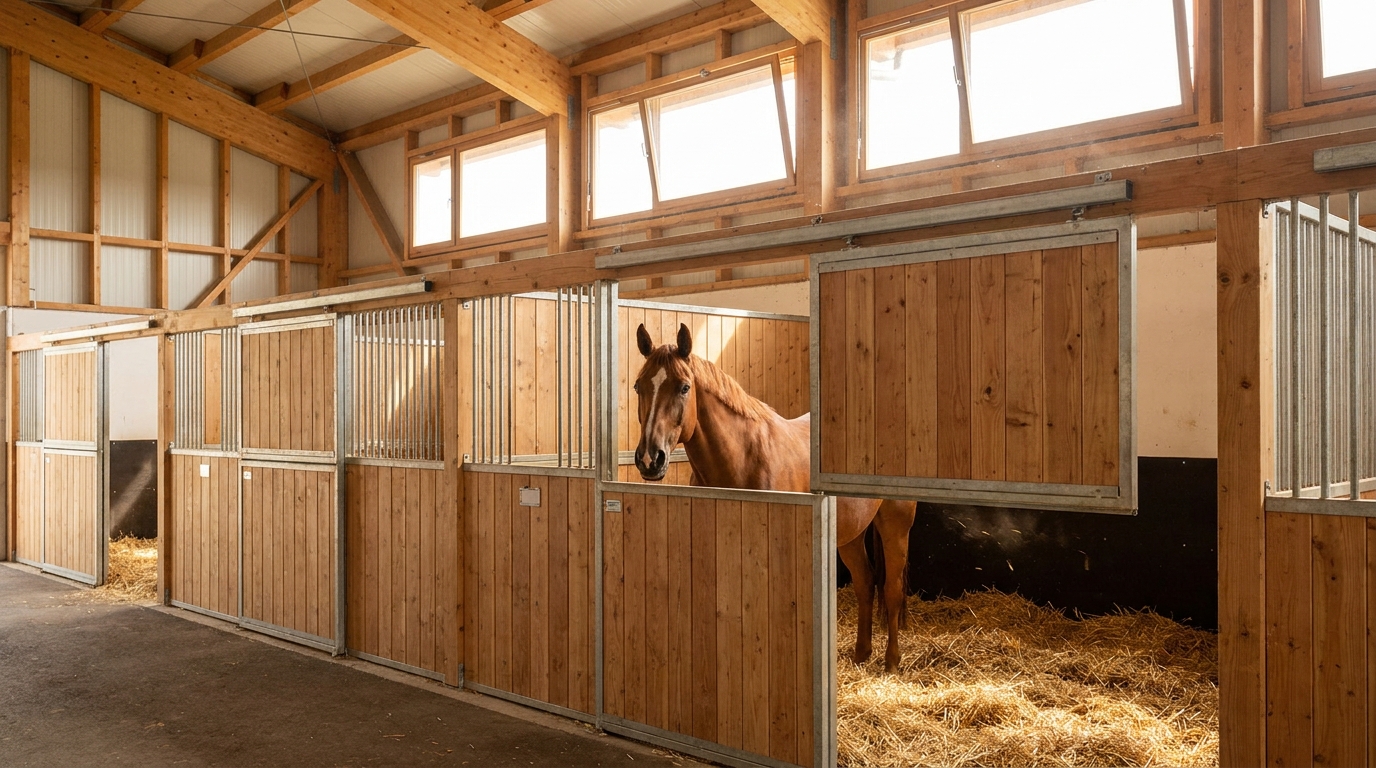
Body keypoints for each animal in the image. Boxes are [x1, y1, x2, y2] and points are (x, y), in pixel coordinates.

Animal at [631, 322, 918, 672]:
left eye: (684, 387)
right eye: (638, 385)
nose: (650, 459)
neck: (742, 458)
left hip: (895, 526)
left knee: (891, 589)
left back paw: (891, 662)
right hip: (850, 534)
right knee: (865, 582)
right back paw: (861, 654)